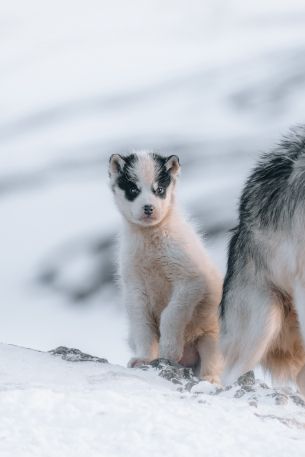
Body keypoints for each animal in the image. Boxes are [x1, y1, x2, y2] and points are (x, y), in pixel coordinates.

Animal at [108, 150, 221, 382]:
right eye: (133, 189)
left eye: (159, 189)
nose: (148, 208)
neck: (150, 239)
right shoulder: (134, 286)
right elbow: (142, 325)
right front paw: (144, 358)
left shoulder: (190, 280)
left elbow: (171, 314)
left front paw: (169, 351)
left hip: (212, 337)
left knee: (213, 363)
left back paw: (209, 379)